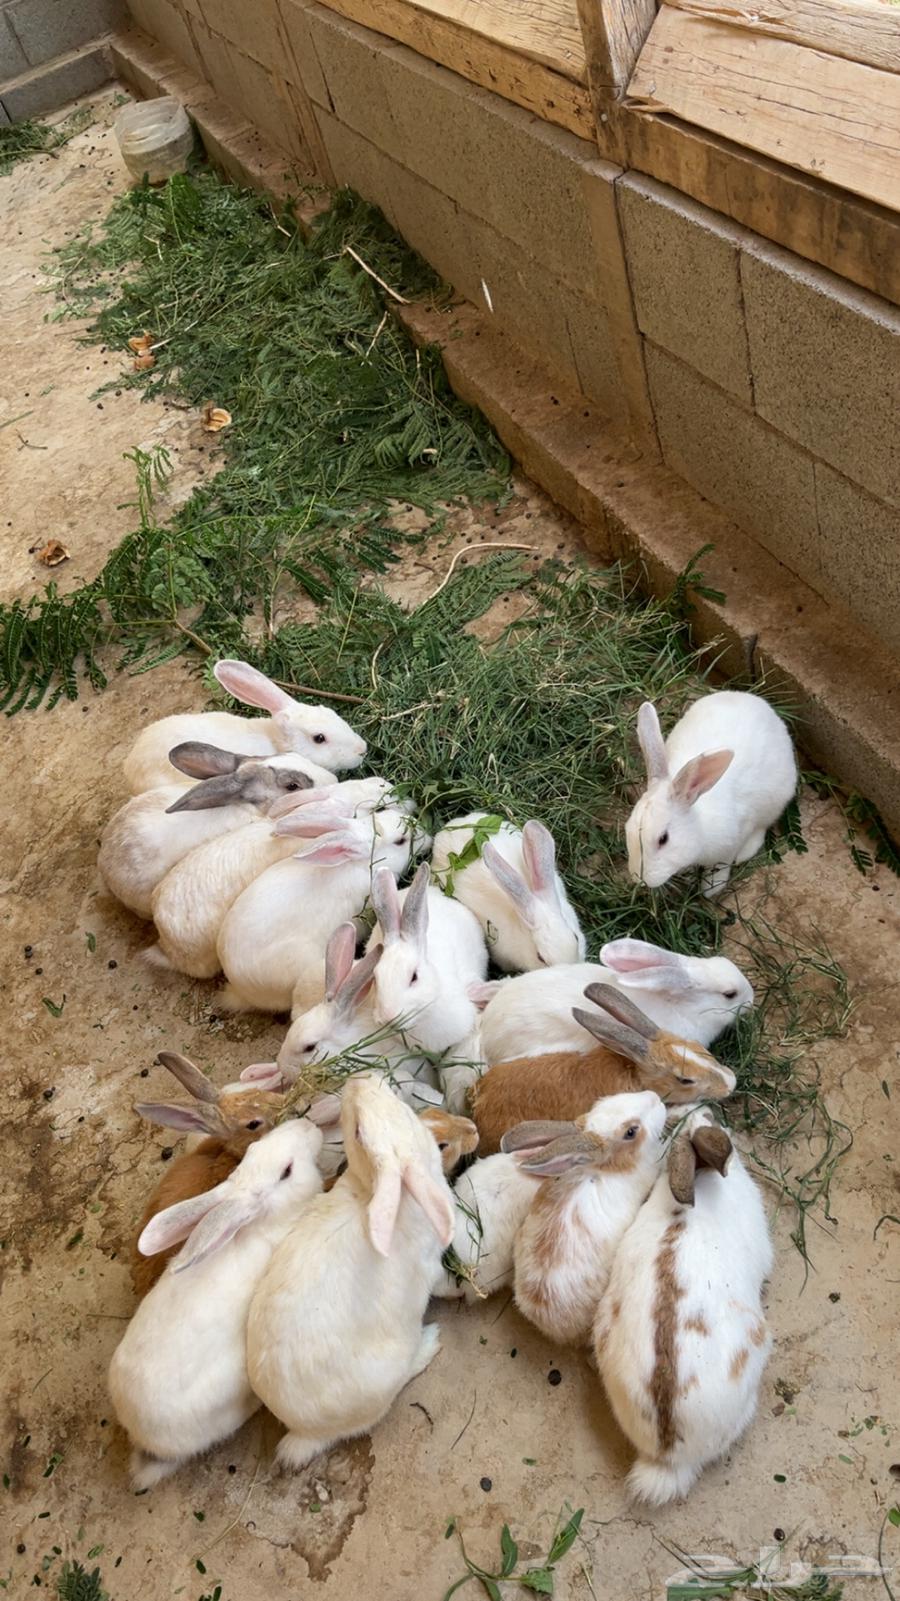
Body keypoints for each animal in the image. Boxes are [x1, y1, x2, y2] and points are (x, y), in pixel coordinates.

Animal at [246, 1074, 456, 1471]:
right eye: (359, 1131)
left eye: (401, 1106)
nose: (360, 1079)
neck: (370, 1192)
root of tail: (304, 1431)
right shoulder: (430, 1266)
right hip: (387, 1373)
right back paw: (430, 1342)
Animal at [625, 691, 797, 896]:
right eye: (627, 828)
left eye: (663, 839)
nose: (639, 880)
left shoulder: (734, 839)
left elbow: (721, 866)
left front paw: (711, 888)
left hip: (775, 800)